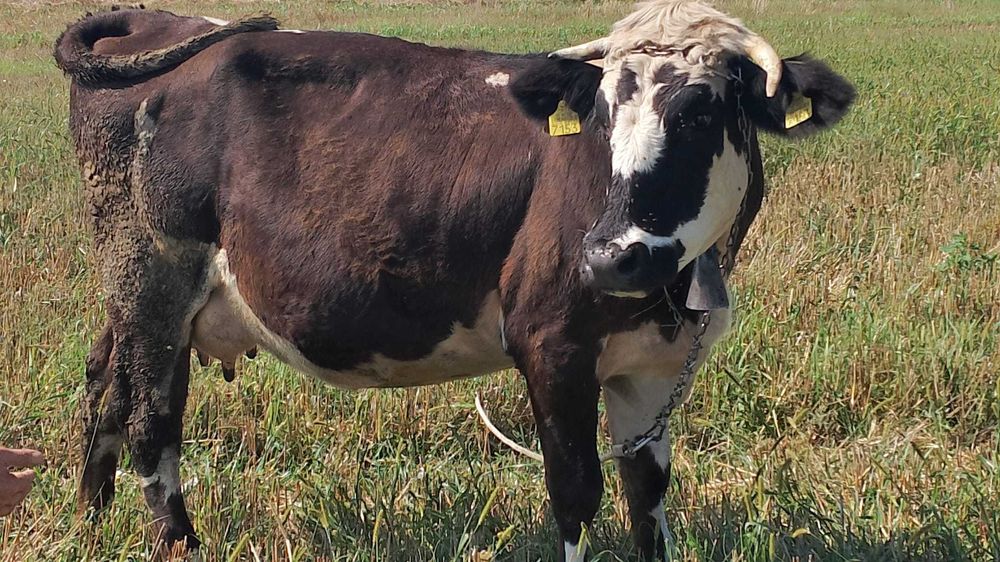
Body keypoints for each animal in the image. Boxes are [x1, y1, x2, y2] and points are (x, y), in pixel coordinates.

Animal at [55, 1, 854, 559]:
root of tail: (171, 24)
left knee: (105, 385)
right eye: (599, 114)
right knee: (151, 421)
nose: (608, 256)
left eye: (698, 112)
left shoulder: (652, 368)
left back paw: (90, 522)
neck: (666, 296)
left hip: (135, 291)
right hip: (154, 276)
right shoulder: (553, 346)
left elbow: (645, 497)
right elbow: (576, 492)